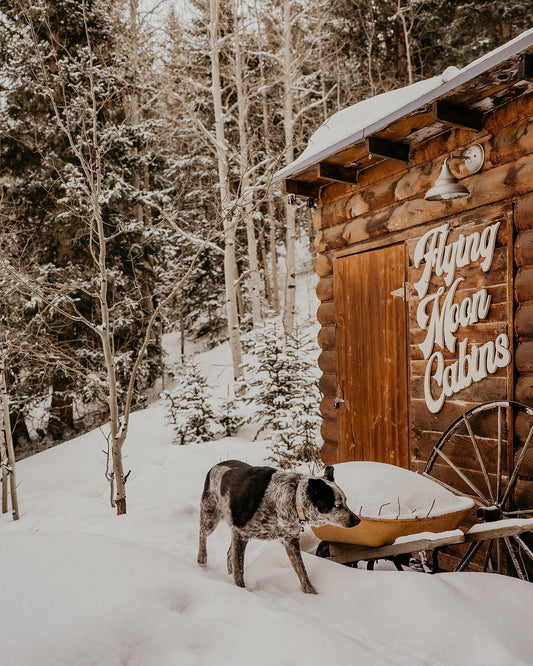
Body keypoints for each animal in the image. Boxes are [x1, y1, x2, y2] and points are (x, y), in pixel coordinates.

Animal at [195, 460, 358, 592]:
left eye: (346, 501)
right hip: (211, 517)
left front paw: (311, 593)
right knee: (202, 534)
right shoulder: (240, 533)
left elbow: (302, 570)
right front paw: (241, 590)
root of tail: (215, 467)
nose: (357, 520)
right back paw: (201, 560)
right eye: (337, 505)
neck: (293, 499)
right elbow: (240, 570)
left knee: (230, 553)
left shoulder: (290, 541)